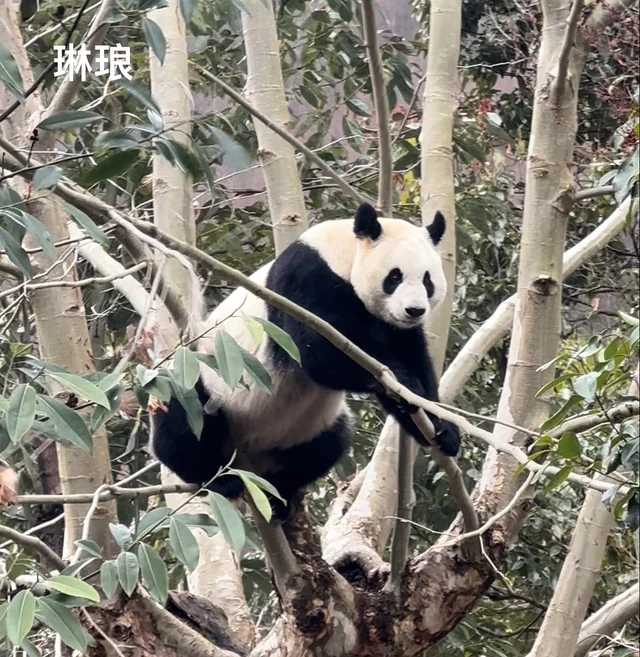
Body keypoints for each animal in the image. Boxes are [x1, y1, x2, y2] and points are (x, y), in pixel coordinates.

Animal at [151, 203, 460, 519]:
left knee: (327, 444)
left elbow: (415, 360)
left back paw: (277, 496)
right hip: (204, 379)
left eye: (427, 280)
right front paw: (404, 383)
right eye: (394, 277)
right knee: (183, 416)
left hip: (305, 431)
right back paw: (216, 479)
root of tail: (248, 455)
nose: (414, 310)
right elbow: (319, 355)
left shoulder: (393, 326)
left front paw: (441, 428)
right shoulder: (305, 280)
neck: (343, 255)